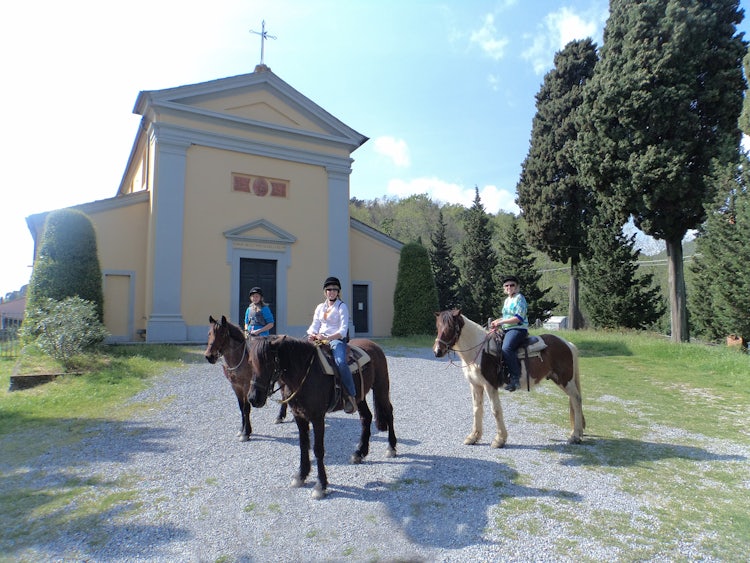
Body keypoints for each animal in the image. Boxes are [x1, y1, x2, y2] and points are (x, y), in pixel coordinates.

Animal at [248, 334, 400, 498]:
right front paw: (301, 475)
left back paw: (391, 448)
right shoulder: (299, 417)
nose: (253, 398)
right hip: (359, 397)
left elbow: (318, 450)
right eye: (250, 362)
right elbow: (303, 446)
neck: (304, 374)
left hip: (381, 386)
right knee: (366, 418)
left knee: (389, 412)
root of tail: (374, 345)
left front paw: (321, 485)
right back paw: (360, 452)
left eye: (268, 362)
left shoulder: (317, 418)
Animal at [434, 310, 588, 448]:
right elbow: (477, 409)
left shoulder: (490, 385)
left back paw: (575, 436)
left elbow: (495, 410)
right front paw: (473, 437)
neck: (479, 352)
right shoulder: (475, 385)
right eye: (438, 326)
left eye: (450, 327)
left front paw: (499, 440)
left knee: (576, 399)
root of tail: (567, 344)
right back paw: (577, 433)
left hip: (565, 380)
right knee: (574, 400)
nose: (437, 351)